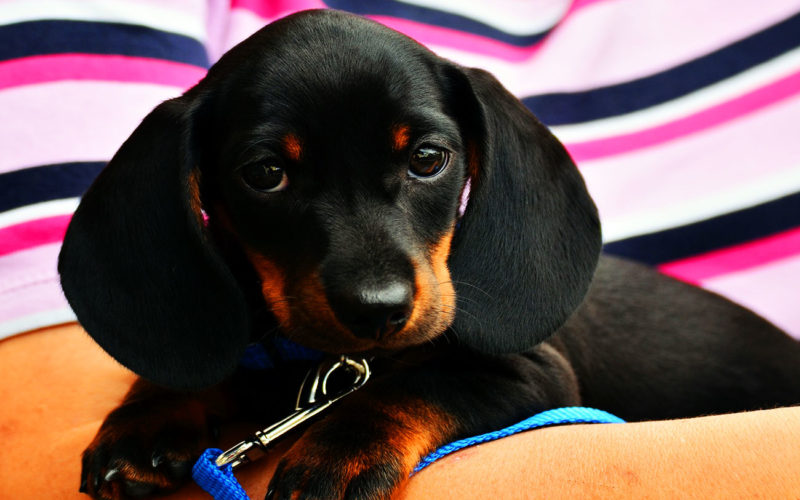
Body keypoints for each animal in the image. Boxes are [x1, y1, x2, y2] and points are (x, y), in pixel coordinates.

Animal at [57, 8, 800, 500]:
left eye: (426, 158)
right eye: (265, 174)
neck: (320, 365)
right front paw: (145, 418)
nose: (378, 311)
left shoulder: (533, 375)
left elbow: (415, 385)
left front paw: (338, 454)